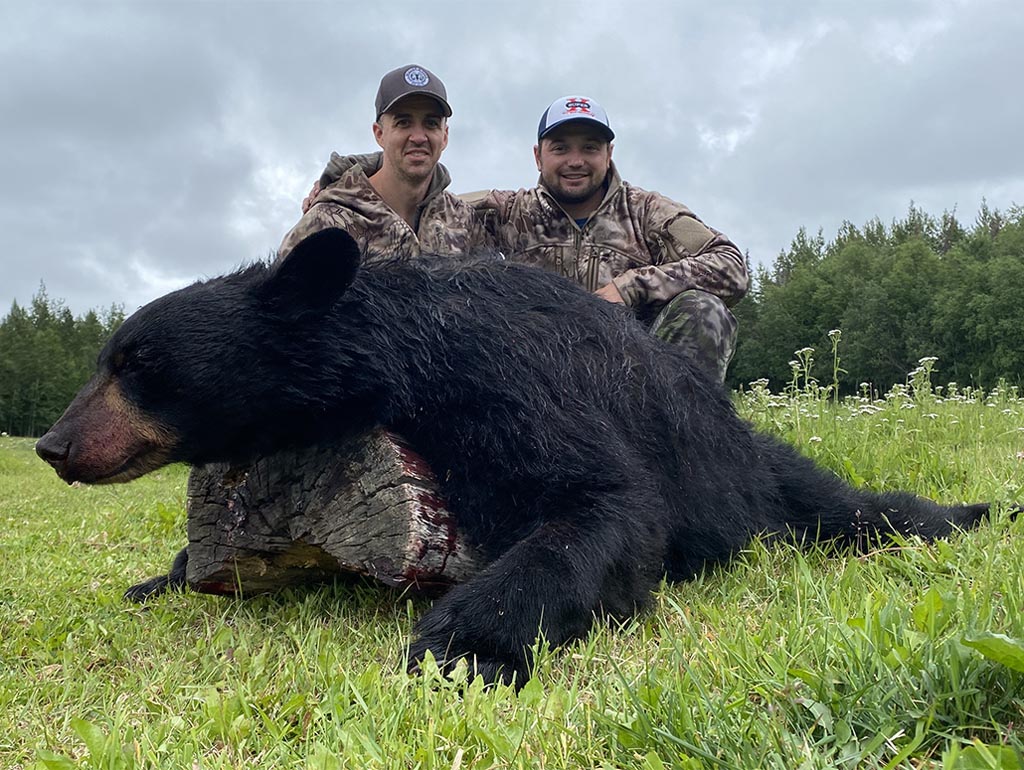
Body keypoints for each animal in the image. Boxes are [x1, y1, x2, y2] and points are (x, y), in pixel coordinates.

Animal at [39, 228, 991, 683]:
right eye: (106, 358)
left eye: (140, 364)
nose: (52, 444)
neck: (405, 354)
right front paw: (161, 574)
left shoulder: (506, 380)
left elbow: (600, 505)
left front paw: (463, 648)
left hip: (754, 470)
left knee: (857, 507)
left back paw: (973, 510)